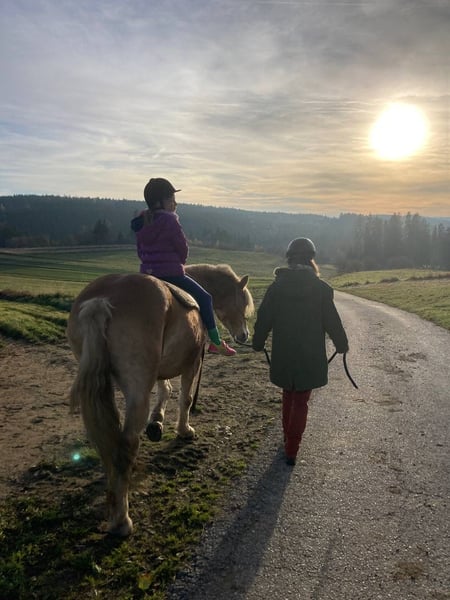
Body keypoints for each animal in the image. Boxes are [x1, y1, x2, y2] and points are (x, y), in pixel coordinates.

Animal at [66, 263, 253, 536]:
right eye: (241, 302)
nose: (244, 335)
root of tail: (102, 300)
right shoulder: (192, 364)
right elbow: (185, 398)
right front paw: (184, 430)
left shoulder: (159, 370)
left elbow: (165, 389)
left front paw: (157, 422)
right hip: (137, 387)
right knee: (126, 446)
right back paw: (121, 520)